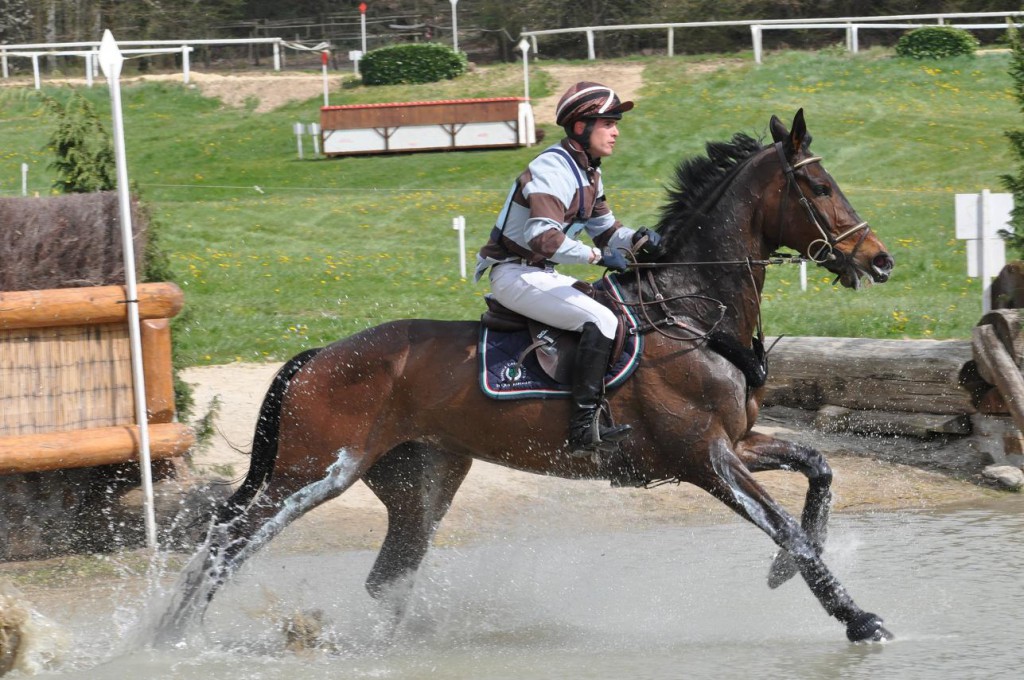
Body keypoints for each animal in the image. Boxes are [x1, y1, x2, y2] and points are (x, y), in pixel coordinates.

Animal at [159, 110, 897, 643]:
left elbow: (819, 471)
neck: (689, 310)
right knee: (228, 541)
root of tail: (317, 355)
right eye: (820, 187)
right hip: (312, 473)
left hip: (422, 482)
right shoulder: (705, 457)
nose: (880, 260)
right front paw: (857, 618)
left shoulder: (737, 443)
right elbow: (784, 525)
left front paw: (782, 573)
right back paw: (171, 637)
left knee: (384, 575)